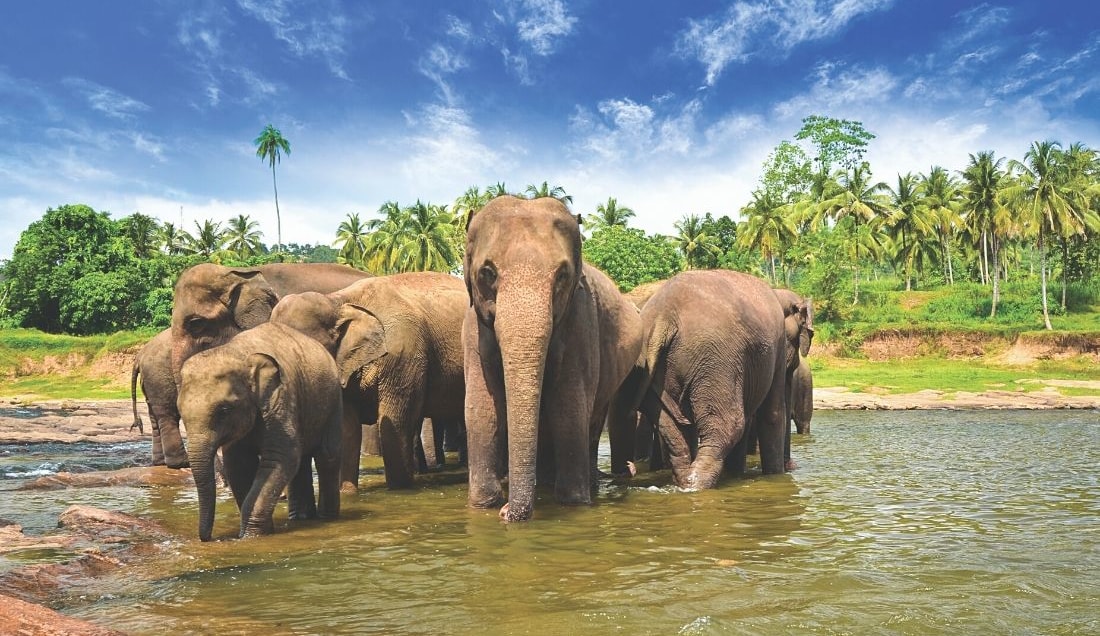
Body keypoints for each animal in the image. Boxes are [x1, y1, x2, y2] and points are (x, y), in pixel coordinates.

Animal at [130, 328, 187, 467]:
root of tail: (139, 356)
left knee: (154, 417)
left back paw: (160, 462)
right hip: (159, 377)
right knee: (168, 414)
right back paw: (181, 463)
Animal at [178, 322, 342, 541]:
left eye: (224, 411)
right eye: (180, 412)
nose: (208, 538)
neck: (237, 353)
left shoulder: (279, 399)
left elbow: (280, 458)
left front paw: (251, 536)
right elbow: (239, 464)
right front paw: (256, 532)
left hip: (333, 401)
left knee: (327, 456)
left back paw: (327, 518)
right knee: (302, 462)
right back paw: (301, 518)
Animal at [270, 271, 468, 492]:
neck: (337, 301)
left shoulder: (402, 355)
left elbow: (394, 424)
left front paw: (399, 490)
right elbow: (349, 428)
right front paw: (348, 493)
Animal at [463, 195, 642, 522]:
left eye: (562, 275)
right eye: (488, 272)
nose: (506, 512)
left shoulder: (581, 318)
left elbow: (568, 407)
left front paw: (574, 503)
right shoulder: (473, 326)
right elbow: (482, 409)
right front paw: (484, 504)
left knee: (590, 421)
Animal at [610, 269, 789, 490]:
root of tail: (664, 316)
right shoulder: (778, 346)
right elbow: (773, 413)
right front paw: (776, 477)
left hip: (649, 362)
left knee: (674, 426)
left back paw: (685, 482)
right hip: (717, 359)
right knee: (728, 425)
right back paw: (696, 484)